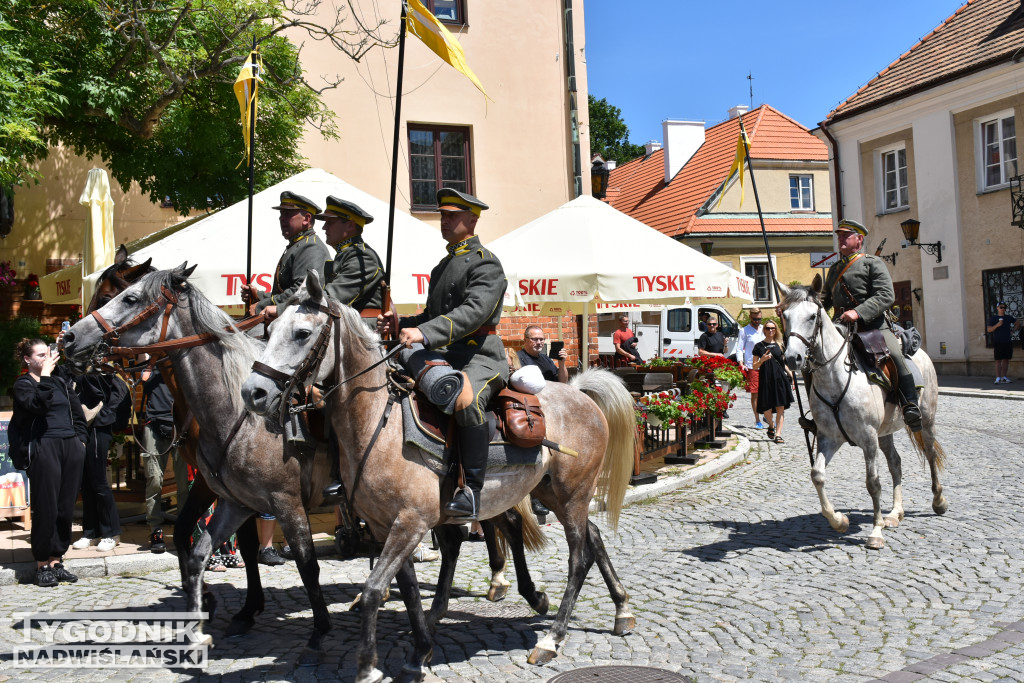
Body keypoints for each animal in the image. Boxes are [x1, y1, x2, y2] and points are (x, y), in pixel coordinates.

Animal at [242, 272, 634, 683]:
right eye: (270, 331)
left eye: (302, 333)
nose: (253, 392)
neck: (378, 424)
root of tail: (577, 392)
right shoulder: (386, 525)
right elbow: (408, 589)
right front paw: (419, 652)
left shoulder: (411, 522)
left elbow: (373, 588)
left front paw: (368, 666)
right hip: (555, 494)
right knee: (592, 538)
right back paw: (620, 610)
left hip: (572, 494)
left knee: (578, 557)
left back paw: (552, 638)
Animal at [778, 278, 946, 548]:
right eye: (784, 315)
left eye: (812, 316)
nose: (793, 358)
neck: (835, 377)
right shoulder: (829, 438)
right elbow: (817, 475)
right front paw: (839, 521)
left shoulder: (868, 439)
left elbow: (872, 483)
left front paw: (875, 532)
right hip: (885, 433)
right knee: (895, 463)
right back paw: (895, 513)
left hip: (926, 420)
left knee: (930, 454)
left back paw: (938, 501)